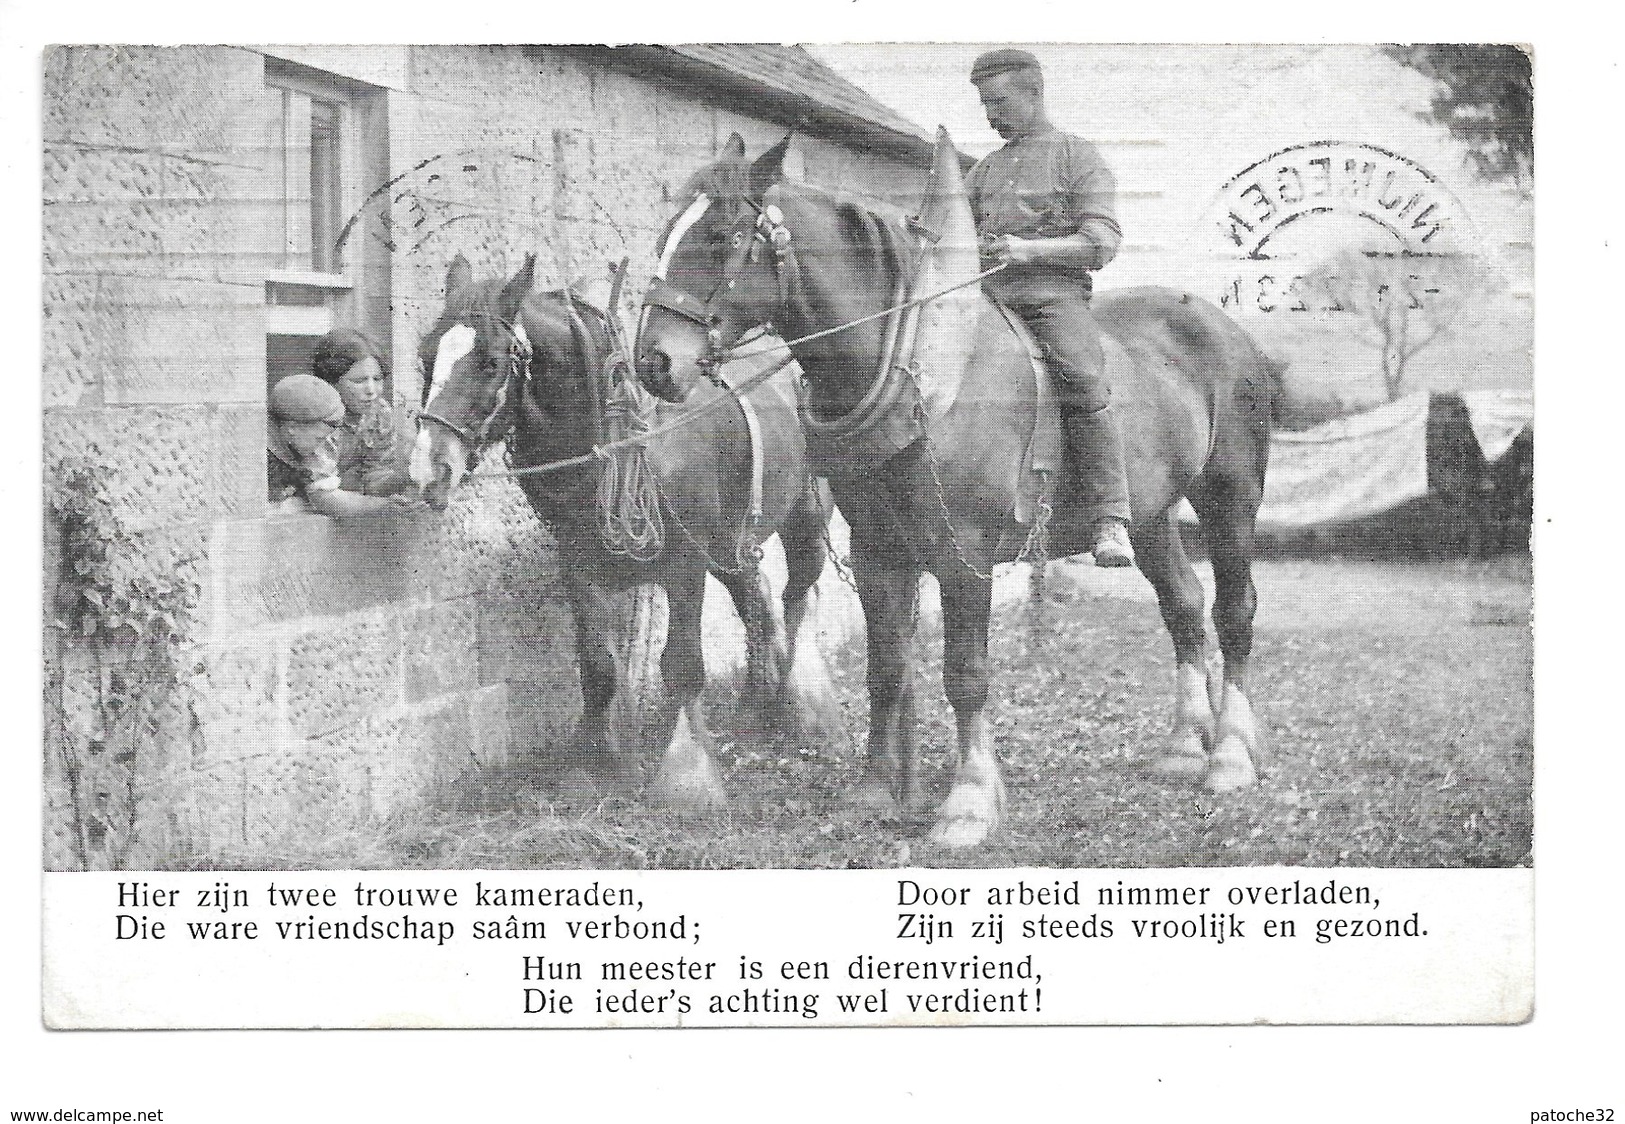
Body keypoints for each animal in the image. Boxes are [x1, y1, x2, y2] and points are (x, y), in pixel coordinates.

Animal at [409, 251, 838, 808]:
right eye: (425, 357)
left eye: (489, 361)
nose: (428, 468)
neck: (621, 441)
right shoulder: (579, 562)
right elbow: (598, 667)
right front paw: (591, 761)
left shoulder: (684, 566)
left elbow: (682, 666)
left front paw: (688, 773)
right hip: (729, 546)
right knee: (757, 603)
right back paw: (756, 702)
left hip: (802, 517)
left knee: (798, 596)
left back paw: (799, 700)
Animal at [640, 136, 1274, 844]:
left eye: (720, 235)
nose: (653, 362)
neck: (921, 369)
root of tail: (1226, 329)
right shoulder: (878, 552)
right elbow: (887, 668)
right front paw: (875, 790)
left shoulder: (964, 555)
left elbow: (965, 674)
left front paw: (969, 800)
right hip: (1151, 516)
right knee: (1184, 606)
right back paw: (1185, 744)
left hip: (1230, 499)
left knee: (1234, 611)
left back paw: (1228, 755)